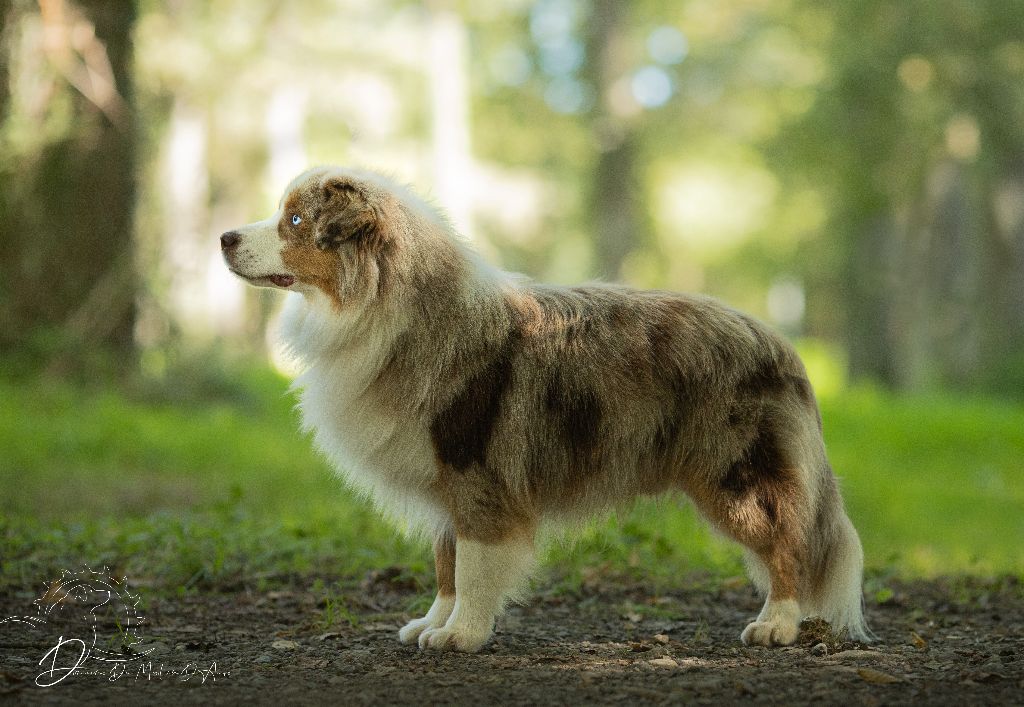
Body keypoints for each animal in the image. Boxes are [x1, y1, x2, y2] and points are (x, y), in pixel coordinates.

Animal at [218, 164, 872, 651]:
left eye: (294, 220)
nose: (224, 238)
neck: (386, 308)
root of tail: (780, 343)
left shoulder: (477, 471)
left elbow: (475, 563)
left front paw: (461, 635)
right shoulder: (446, 481)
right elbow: (446, 562)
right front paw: (434, 622)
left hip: (736, 476)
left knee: (787, 543)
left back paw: (777, 623)